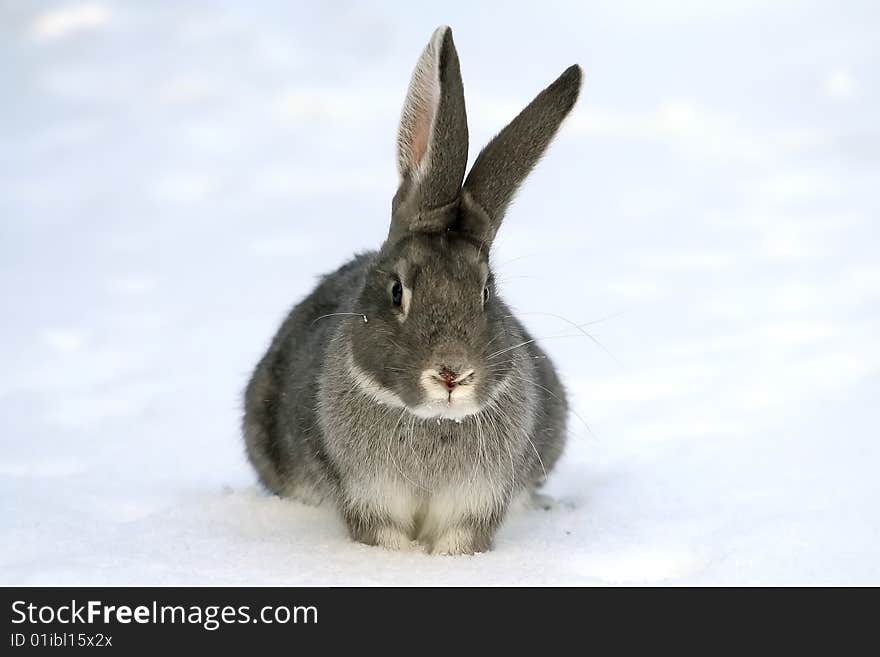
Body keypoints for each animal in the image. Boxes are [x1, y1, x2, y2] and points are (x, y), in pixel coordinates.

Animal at [244, 25, 580, 552]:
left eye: (486, 293)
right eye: (397, 291)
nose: (452, 374)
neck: (432, 420)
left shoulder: (476, 503)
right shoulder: (368, 499)